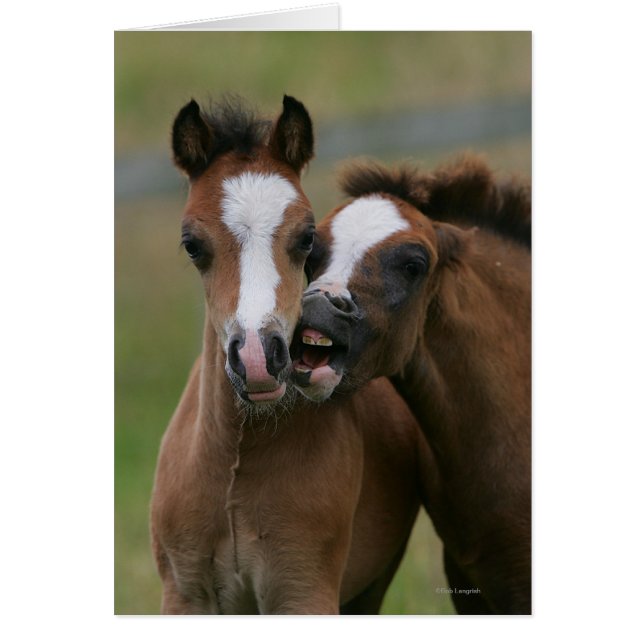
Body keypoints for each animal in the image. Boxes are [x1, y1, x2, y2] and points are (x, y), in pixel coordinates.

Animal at [149, 95, 430, 614]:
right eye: (192, 244)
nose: (258, 359)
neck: (236, 463)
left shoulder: (304, 591)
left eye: (307, 238)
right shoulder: (183, 592)